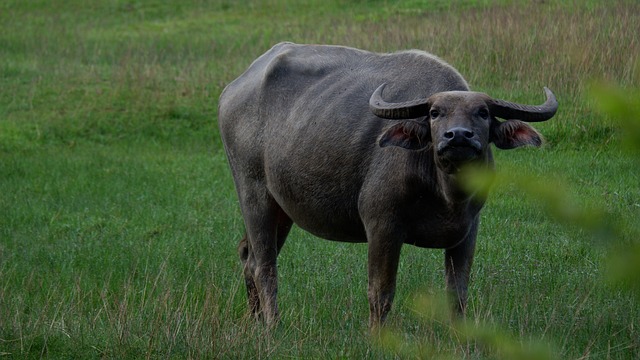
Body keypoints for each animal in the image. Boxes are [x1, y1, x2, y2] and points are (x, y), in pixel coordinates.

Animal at [218, 42, 556, 330]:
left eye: (483, 113)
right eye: (435, 113)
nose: (458, 136)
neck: (445, 193)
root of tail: (234, 89)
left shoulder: (468, 230)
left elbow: (458, 292)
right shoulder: (383, 226)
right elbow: (381, 292)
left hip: (281, 207)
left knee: (248, 255)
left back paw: (254, 319)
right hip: (253, 192)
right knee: (264, 266)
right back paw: (272, 325)